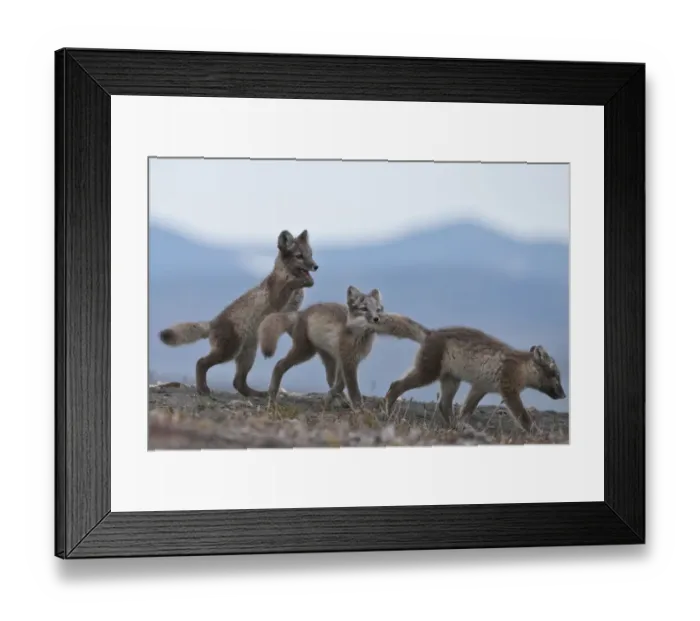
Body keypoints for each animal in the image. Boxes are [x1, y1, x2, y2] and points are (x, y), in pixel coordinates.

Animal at [158, 229, 318, 397]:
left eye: (310, 254)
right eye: (299, 256)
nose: (316, 266)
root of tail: (213, 322)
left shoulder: (289, 311)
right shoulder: (276, 299)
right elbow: (289, 286)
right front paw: (300, 282)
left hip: (247, 355)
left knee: (238, 383)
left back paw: (257, 394)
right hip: (229, 352)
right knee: (201, 363)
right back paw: (203, 389)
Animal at [258, 285, 430, 411]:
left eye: (378, 309)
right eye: (364, 309)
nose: (376, 319)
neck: (359, 338)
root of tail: (301, 313)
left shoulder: (348, 361)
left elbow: (340, 385)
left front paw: (331, 397)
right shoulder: (348, 362)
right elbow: (353, 389)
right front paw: (359, 409)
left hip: (329, 360)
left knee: (330, 380)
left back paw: (336, 400)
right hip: (305, 352)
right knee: (279, 364)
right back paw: (272, 393)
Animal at [384, 326, 567, 432]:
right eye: (556, 375)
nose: (564, 395)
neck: (522, 368)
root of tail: (431, 333)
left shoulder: (480, 387)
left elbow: (466, 410)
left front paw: (463, 424)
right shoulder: (509, 390)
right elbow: (524, 417)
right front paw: (538, 434)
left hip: (451, 380)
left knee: (443, 404)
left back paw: (455, 427)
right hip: (428, 373)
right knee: (396, 385)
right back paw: (387, 411)